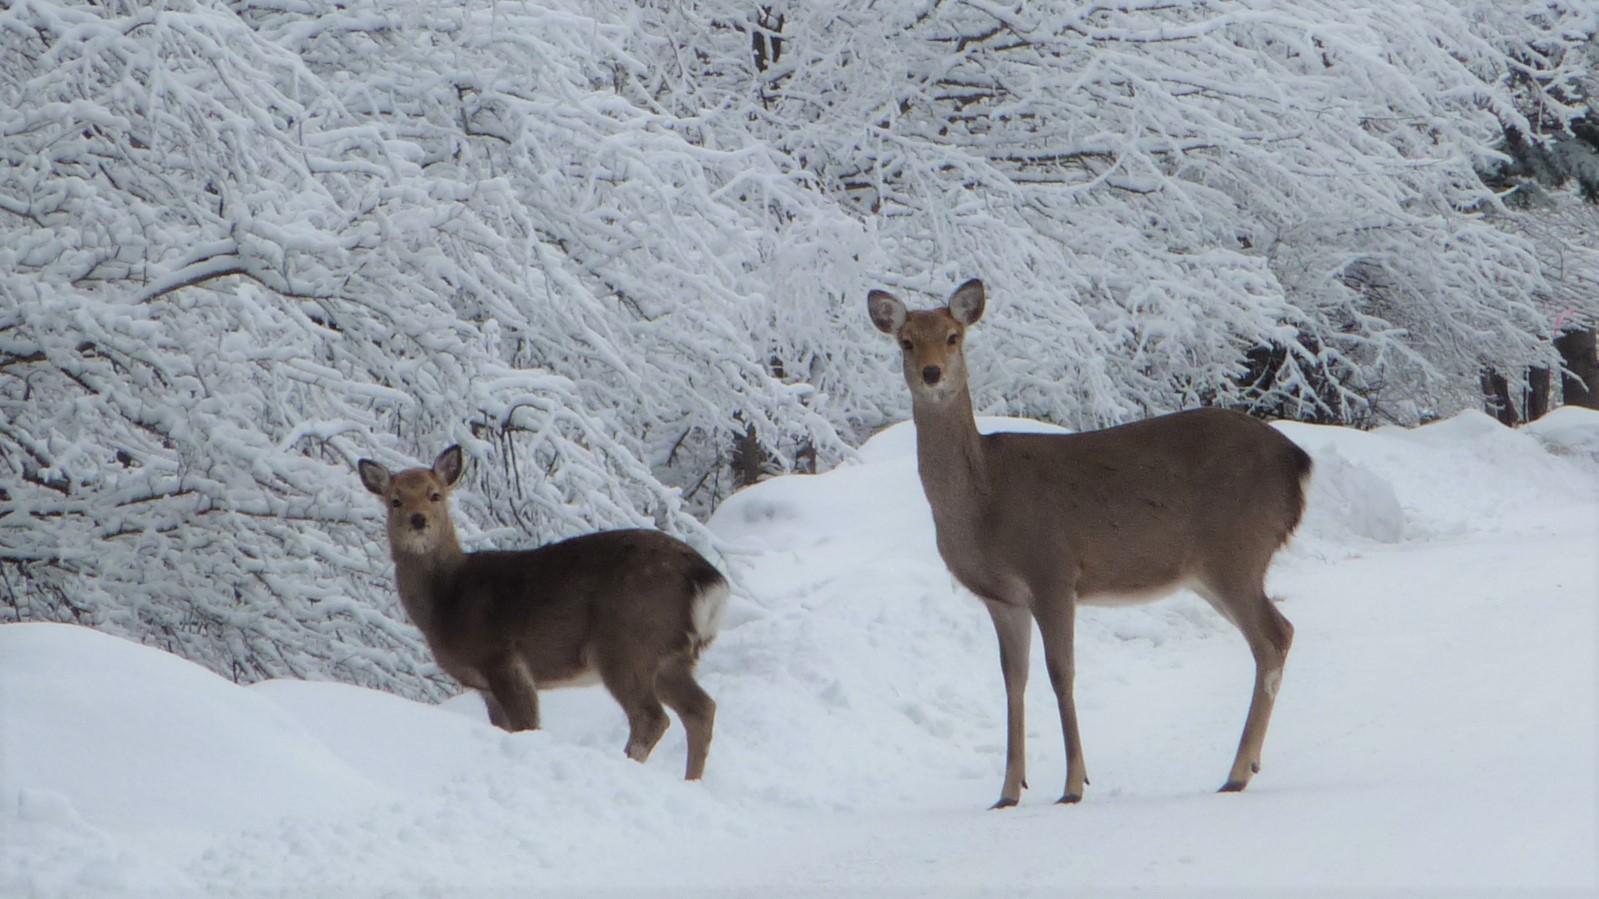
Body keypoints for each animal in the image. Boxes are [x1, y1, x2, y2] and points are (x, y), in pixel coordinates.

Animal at [359, 444, 729, 777]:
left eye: (435, 495)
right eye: (395, 500)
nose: (418, 519)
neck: (447, 599)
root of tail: (708, 578)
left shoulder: (503, 659)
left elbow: (528, 726)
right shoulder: (483, 686)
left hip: (628, 643)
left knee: (652, 718)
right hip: (671, 657)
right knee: (701, 709)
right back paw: (692, 781)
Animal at [876, 278, 1311, 806]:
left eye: (953, 336)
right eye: (906, 341)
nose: (932, 372)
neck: (984, 503)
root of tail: (1299, 462)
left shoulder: (1052, 571)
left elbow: (1061, 673)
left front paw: (1072, 785)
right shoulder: (1003, 598)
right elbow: (1012, 681)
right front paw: (1008, 792)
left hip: (1237, 551)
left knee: (1273, 637)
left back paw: (1236, 773)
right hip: (1212, 571)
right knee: (1278, 634)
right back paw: (1244, 766)